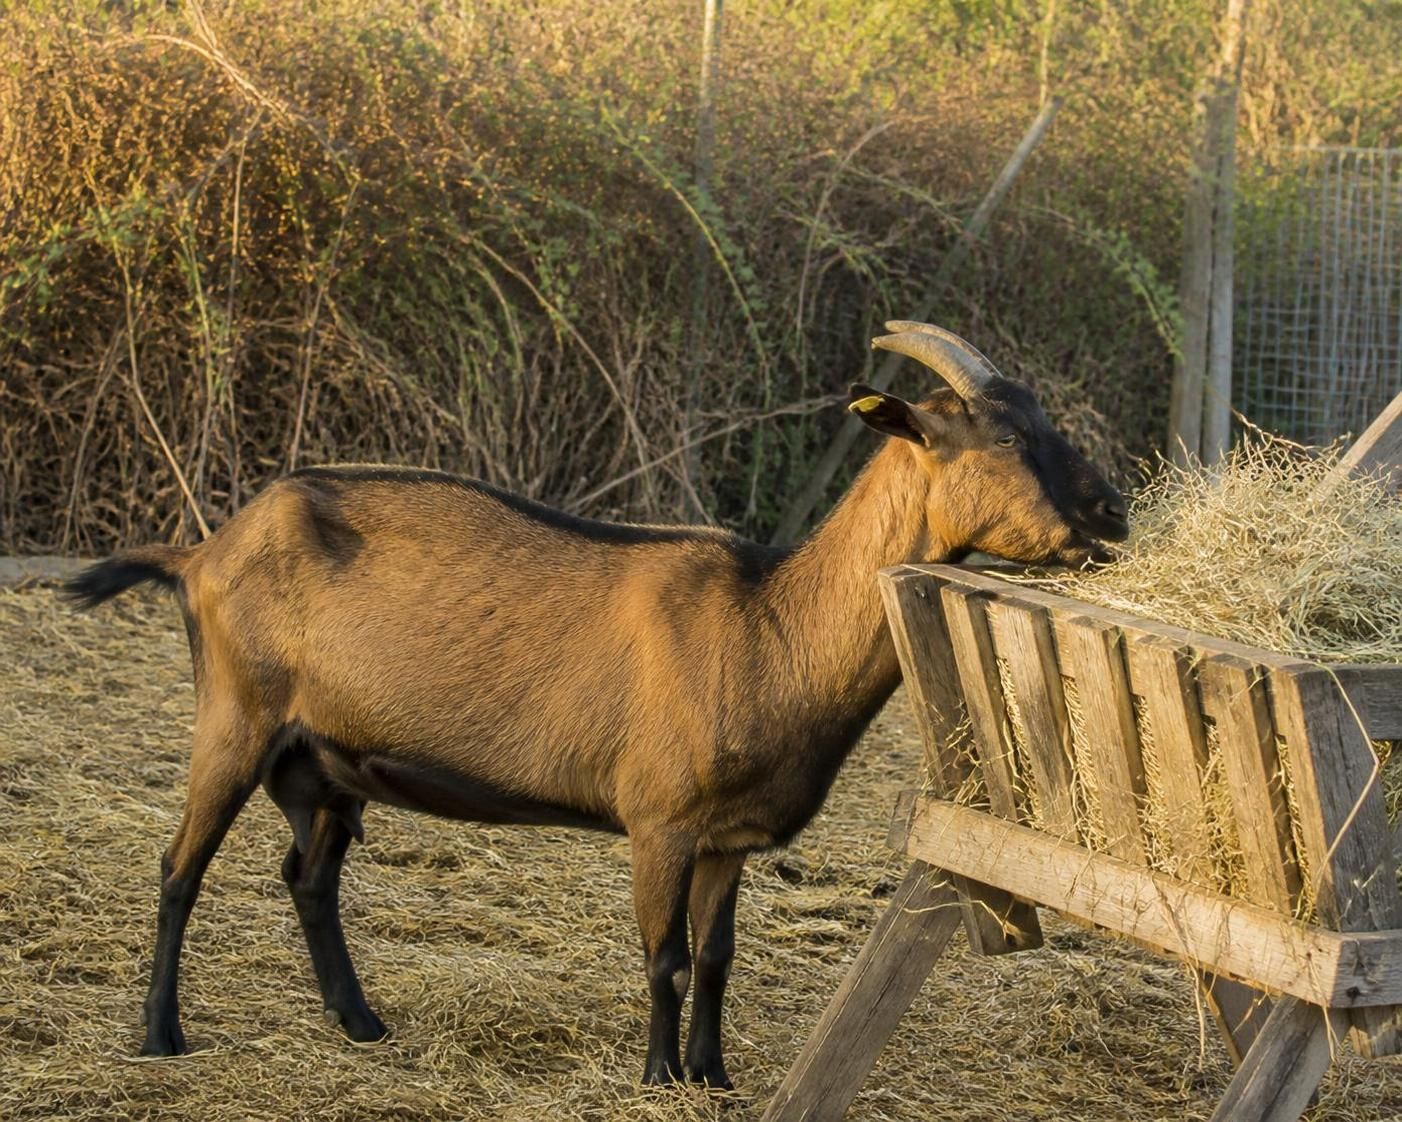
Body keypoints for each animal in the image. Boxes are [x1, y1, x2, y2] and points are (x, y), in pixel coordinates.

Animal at [65, 321, 1128, 1091]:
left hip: (323, 760)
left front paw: (713, 1078)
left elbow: (717, 960)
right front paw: (658, 1077)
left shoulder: (728, 840)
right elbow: (664, 958)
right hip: (235, 718)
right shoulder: (659, 820)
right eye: (1006, 436)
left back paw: (361, 1023)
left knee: (309, 877)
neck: (768, 628)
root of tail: (203, 551)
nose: (1112, 515)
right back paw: (161, 1034)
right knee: (178, 868)